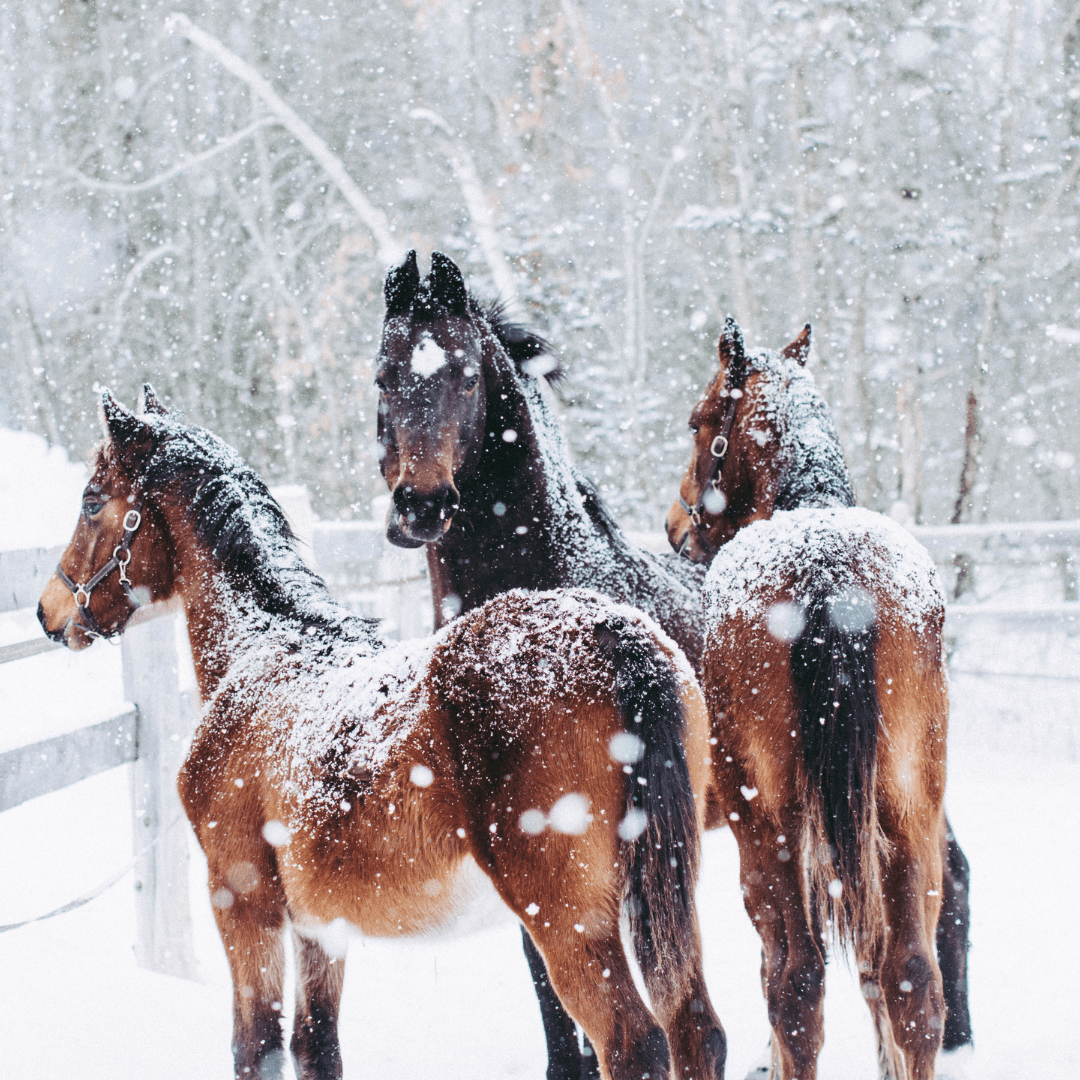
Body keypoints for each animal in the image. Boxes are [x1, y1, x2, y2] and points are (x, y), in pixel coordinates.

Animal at [37, 388, 727, 1080]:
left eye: (92, 499)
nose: (49, 611)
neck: (264, 651)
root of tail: (620, 640)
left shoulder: (242, 902)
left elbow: (256, 1047)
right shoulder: (320, 928)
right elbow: (316, 1047)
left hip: (569, 920)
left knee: (634, 1042)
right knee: (697, 1031)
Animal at [666, 321, 959, 1079]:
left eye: (698, 421)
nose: (677, 527)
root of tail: (827, 573)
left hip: (765, 821)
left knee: (794, 982)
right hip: (909, 812)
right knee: (914, 983)